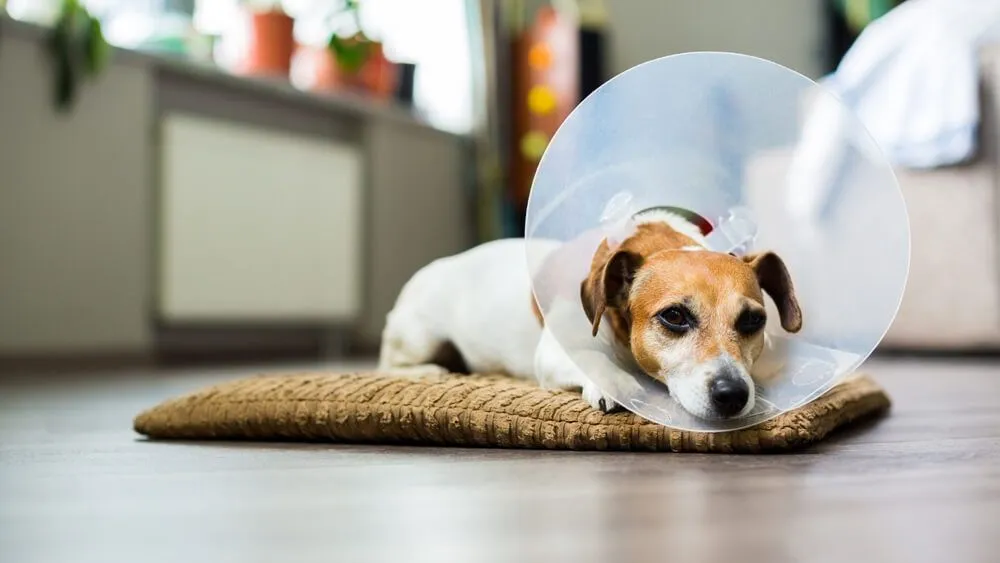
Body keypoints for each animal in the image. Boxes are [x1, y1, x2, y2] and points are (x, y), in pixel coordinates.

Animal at [376, 209, 804, 420]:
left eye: (753, 321)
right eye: (675, 316)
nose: (733, 394)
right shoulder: (555, 352)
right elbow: (592, 361)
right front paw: (616, 384)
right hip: (419, 337)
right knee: (391, 364)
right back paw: (433, 371)